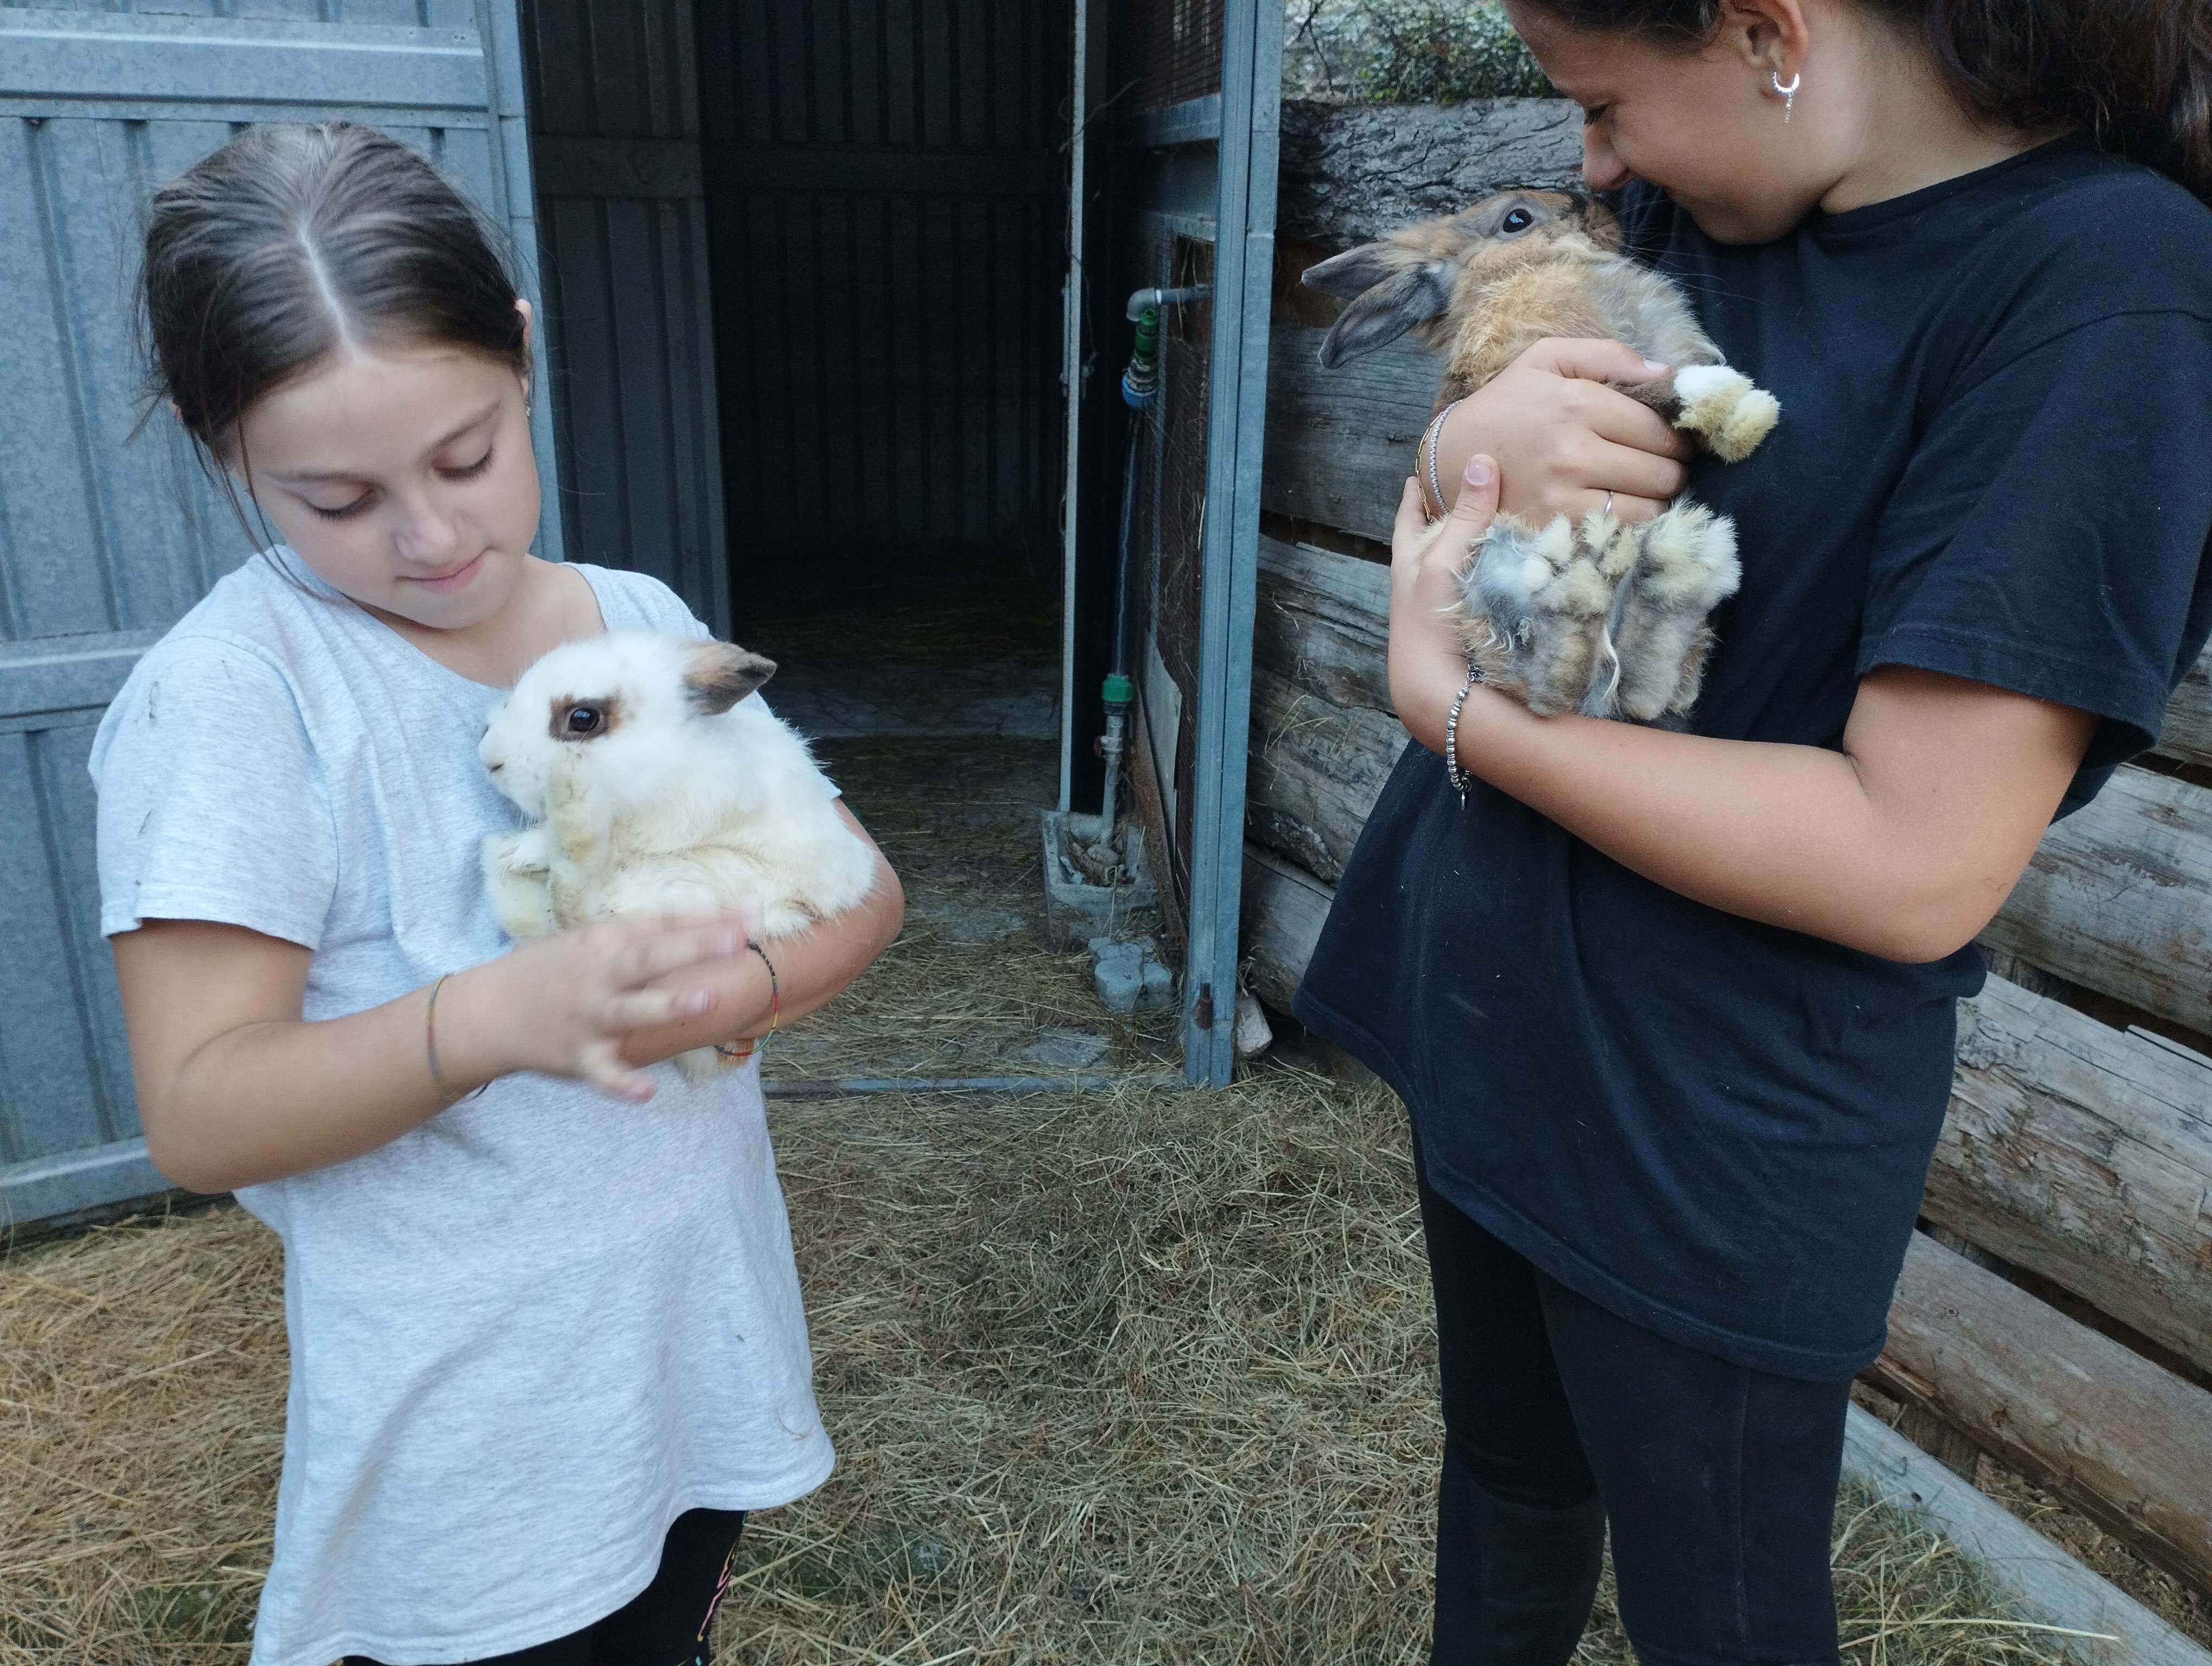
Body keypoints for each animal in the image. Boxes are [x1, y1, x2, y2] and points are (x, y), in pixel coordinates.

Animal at [476, 631, 877, 1081]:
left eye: (582, 718)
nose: (489, 760)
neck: (668, 756)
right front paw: (521, 853)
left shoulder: (660, 824)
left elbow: (609, 841)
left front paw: (529, 849)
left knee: (579, 908)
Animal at [1301, 188, 1780, 721]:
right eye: (1517, 218)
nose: (1597, 206)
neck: (1531, 268)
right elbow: (1640, 390)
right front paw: (1734, 404)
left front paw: (1738, 414)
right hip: (1487, 564)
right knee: (1551, 683)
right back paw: (1583, 595)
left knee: (1642, 688)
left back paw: (1676, 568)